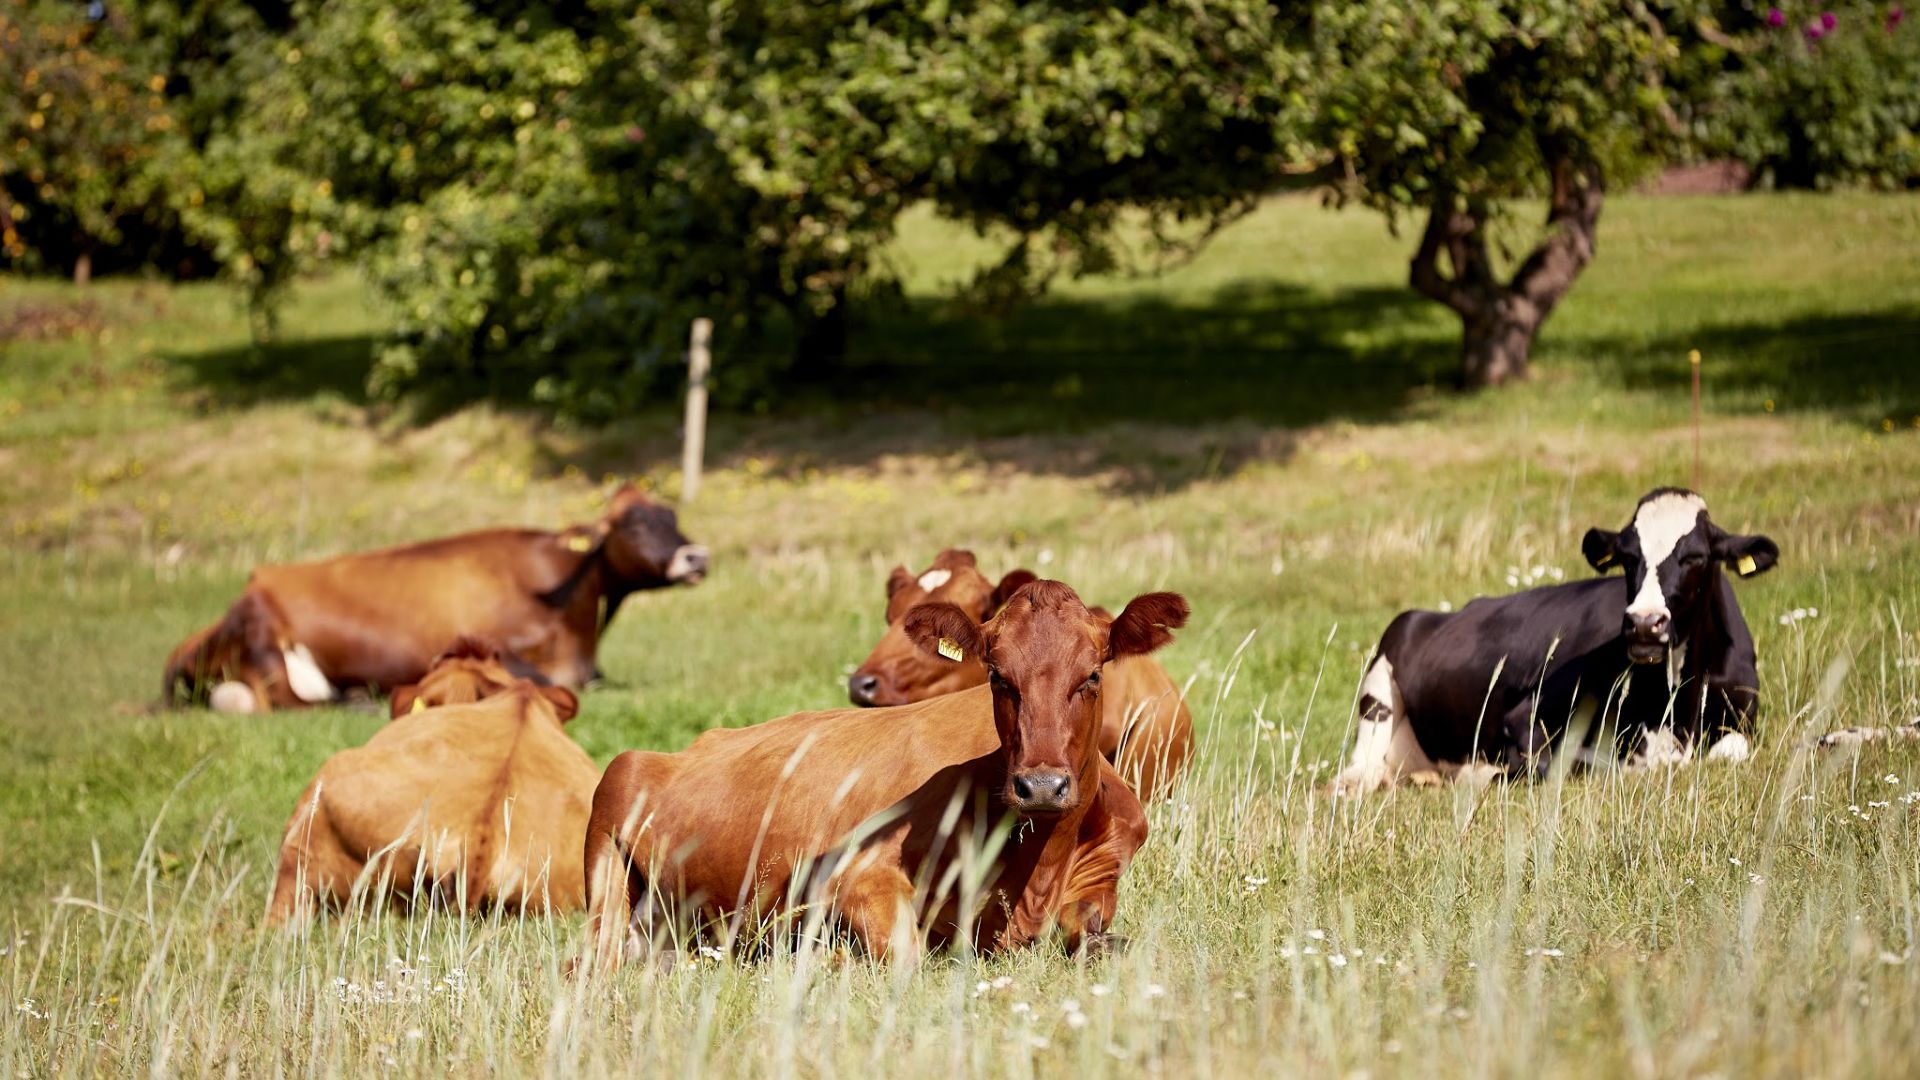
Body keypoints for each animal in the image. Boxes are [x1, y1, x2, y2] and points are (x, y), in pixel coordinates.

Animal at [568, 576, 1182, 972]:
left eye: (1093, 675)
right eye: (998, 676)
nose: (1042, 786)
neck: (1036, 871)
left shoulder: (1102, 874)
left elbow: (1102, 939)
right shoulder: (852, 874)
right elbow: (906, 956)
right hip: (613, 819)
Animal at [1336, 488, 1766, 791]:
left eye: (1695, 557)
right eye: (1628, 557)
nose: (1645, 623)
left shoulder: (1743, 717)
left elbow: (1728, 753)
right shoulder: (1528, 714)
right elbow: (1569, 761)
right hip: (1381, 677)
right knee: (1363, 765)